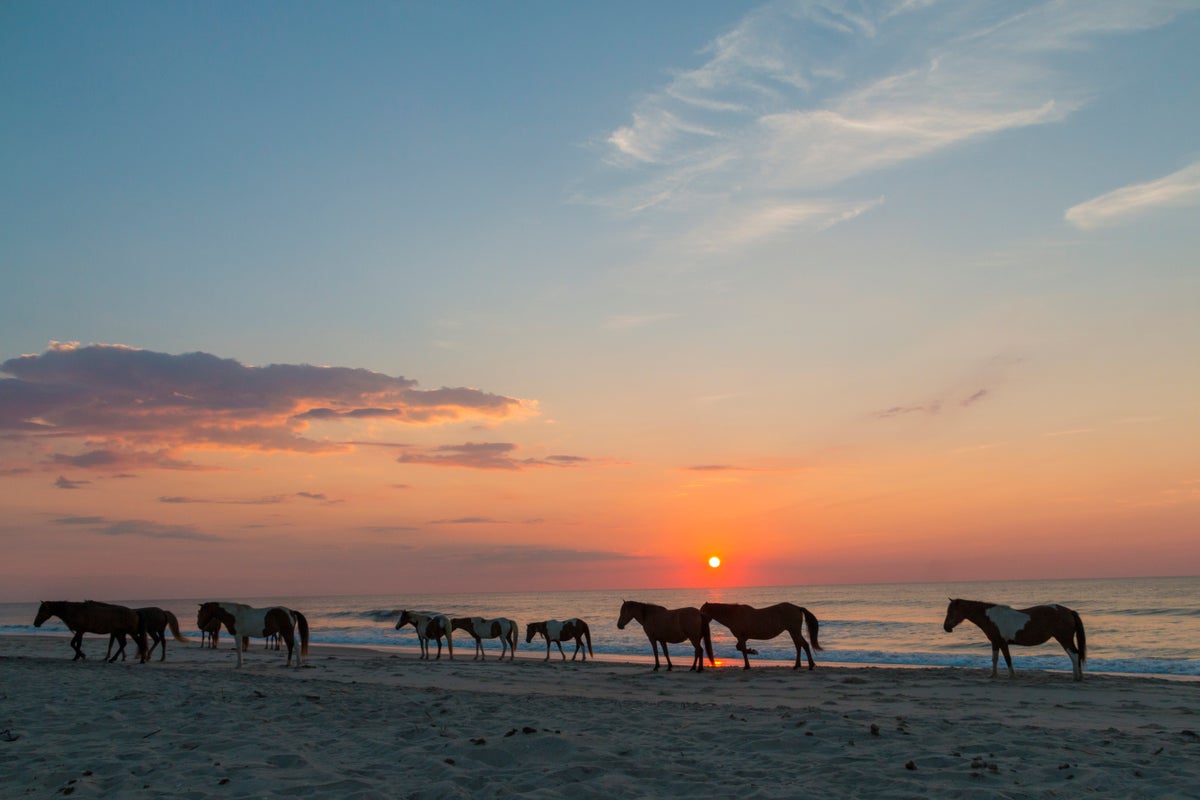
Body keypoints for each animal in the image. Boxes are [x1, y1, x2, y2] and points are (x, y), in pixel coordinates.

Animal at [945, 599, 1089, 681]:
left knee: (1074, 655)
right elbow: (995, 659)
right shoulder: (995, 642)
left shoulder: (1002, 643)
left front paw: (1012, 676)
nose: (946, 627)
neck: (991, 617)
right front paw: (993, 675)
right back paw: (1079, 676)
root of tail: (1069, 611)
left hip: (1064, 639)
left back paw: (1076, 677)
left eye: (952, 611)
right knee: (1076, 654)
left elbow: (1007, 658)